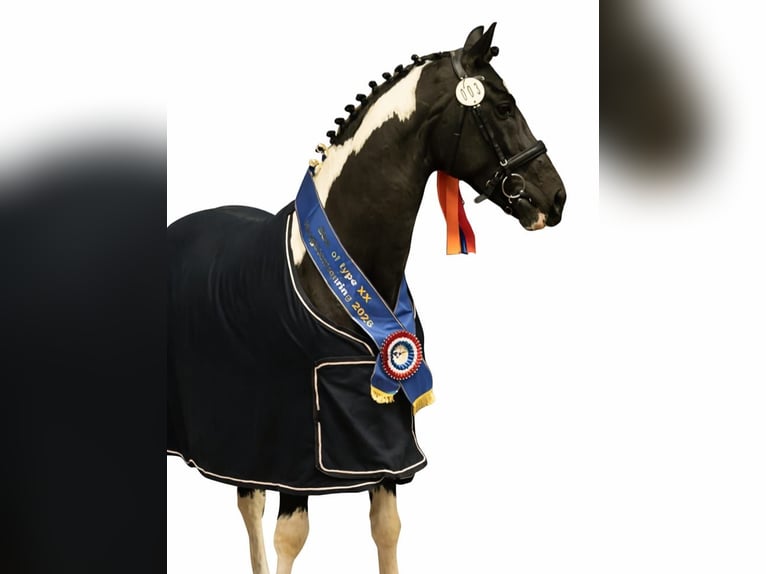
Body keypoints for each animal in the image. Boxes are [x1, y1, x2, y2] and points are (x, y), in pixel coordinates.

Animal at [167, 23, 565, 574]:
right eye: (504, 106)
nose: (556, 198)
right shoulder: (296, 454)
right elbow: (291, 537)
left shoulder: (383, 442)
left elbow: (387, 529)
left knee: (247, 502)